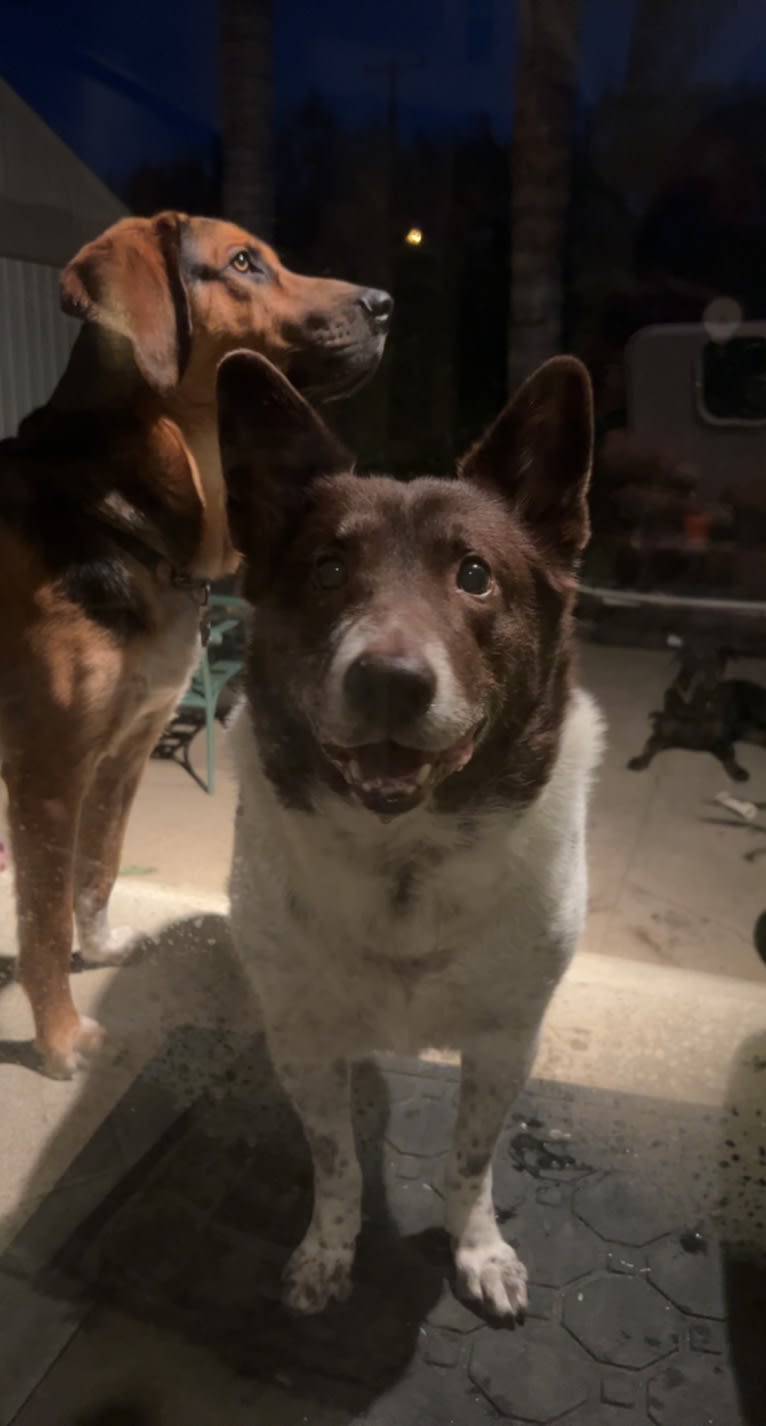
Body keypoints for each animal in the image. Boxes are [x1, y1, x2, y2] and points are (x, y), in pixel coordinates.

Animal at [0, 211, 390, 1072]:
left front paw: (99, 950)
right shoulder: (48, 775)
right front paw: (60, 1041)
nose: (386, 304)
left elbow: (99, 868)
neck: (116, 510)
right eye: (243, 264)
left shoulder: (127, 749)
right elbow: (42, 922)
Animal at [219, 353, 601, 1311]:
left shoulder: (506, 1041)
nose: (390, 680)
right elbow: (336, 1166)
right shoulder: (305, 1044)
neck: (403, 857)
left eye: (474, 574)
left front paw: (478, 1249)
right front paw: (329, 1252)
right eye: (326, 570)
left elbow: (471, 1161)